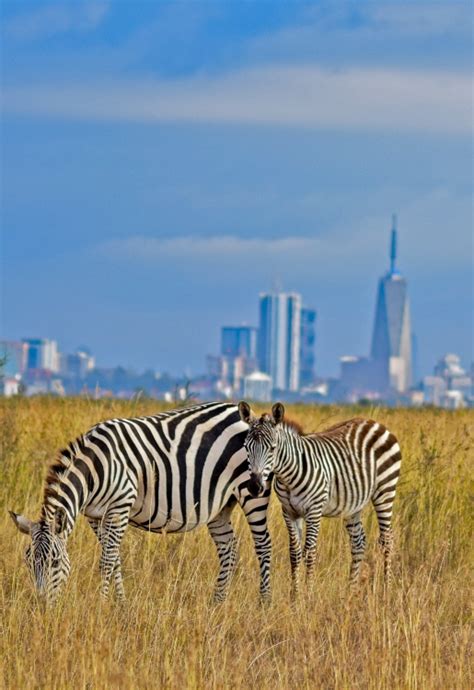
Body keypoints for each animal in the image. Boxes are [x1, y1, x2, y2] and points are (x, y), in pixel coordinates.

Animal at [10, 400, 270, 600]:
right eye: (28, 562)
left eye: (54, 562)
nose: (42, 605)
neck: (95, 468)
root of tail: (237, 411)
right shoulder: (94, 515)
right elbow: (114, 559)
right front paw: (120, 604)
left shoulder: (120, 505)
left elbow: (107, 560)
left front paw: (102, 605)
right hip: (219, 506)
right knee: (229, 549)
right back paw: (217, 602)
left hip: (251, 492)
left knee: (263, 545)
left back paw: (264, 604)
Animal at [239, 398, 402, 592]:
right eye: (246, 447)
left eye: (272, 448)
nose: (255, 487)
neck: (288, 476)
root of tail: (375, 422)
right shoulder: (289, 512)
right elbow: (294, 553)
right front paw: (295, 594)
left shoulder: (314, 510)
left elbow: (310, 552)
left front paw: (308, 595)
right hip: (353, 503)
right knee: (358, 542)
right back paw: (351, 590)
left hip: (385, 490)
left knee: (387, 540)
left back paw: (386, 589)